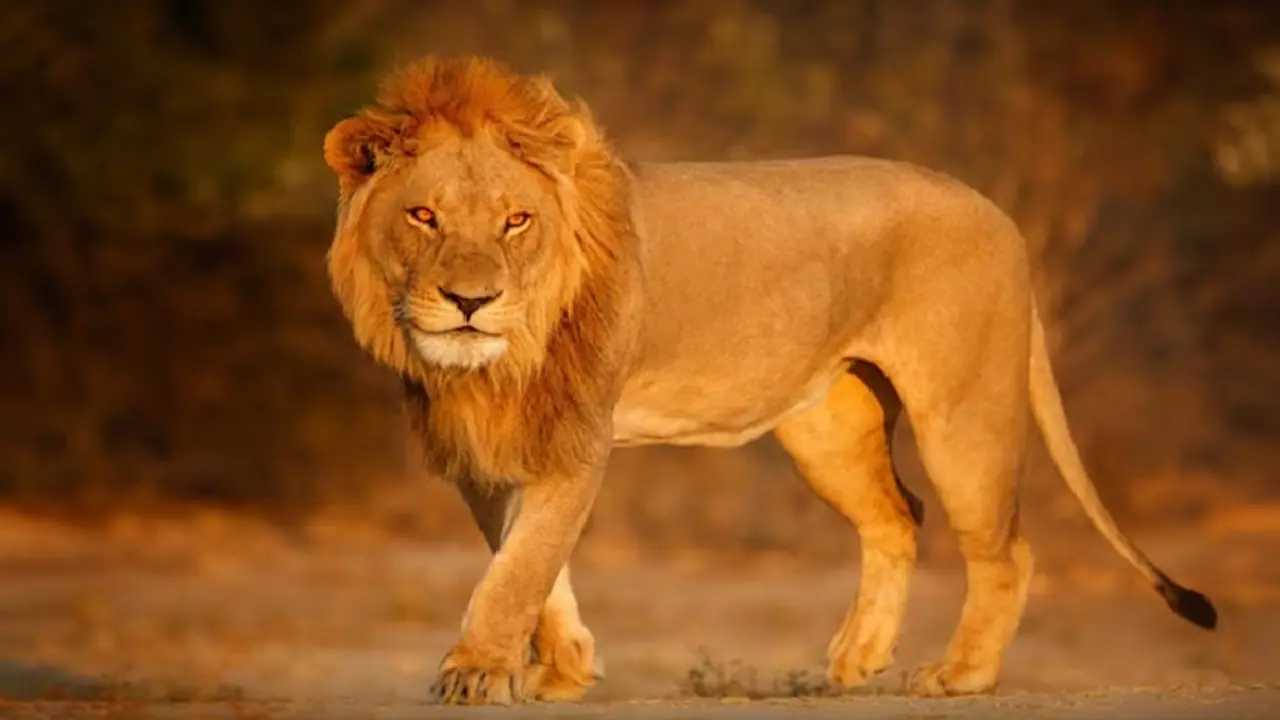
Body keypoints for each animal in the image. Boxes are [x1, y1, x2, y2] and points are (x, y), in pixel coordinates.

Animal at [321, 56, 1217, 706]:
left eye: (516, 220)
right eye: (424, 216)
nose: (472, 302)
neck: (496, 366)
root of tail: (997, 211)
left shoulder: (576, 436)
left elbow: (519, 567)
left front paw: (477, 670)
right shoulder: (479, 448)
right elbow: (525, 565)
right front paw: (565, 667)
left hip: (964, 409)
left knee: (1006, 547)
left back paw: (960, 675)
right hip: (828, 426)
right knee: (899, 516)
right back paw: (857, 659)